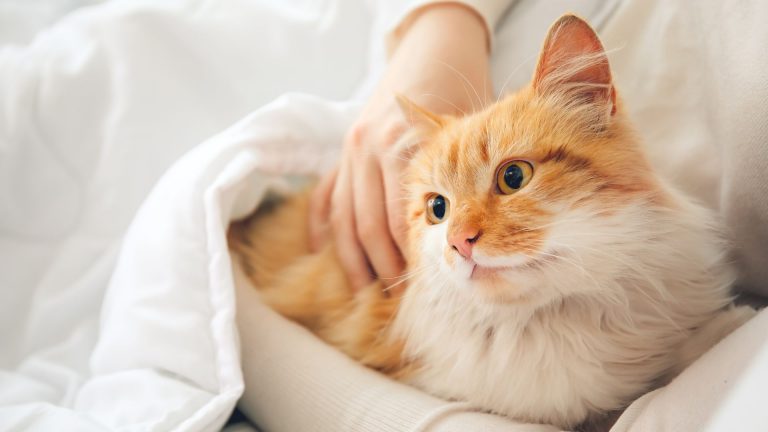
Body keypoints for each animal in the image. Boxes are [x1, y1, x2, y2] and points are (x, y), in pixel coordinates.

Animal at [230, 13, 756, 428]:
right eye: (437, 209)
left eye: (513, 177)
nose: (459, 242)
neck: (553, 323)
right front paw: (728, 328)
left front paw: (720, 330)